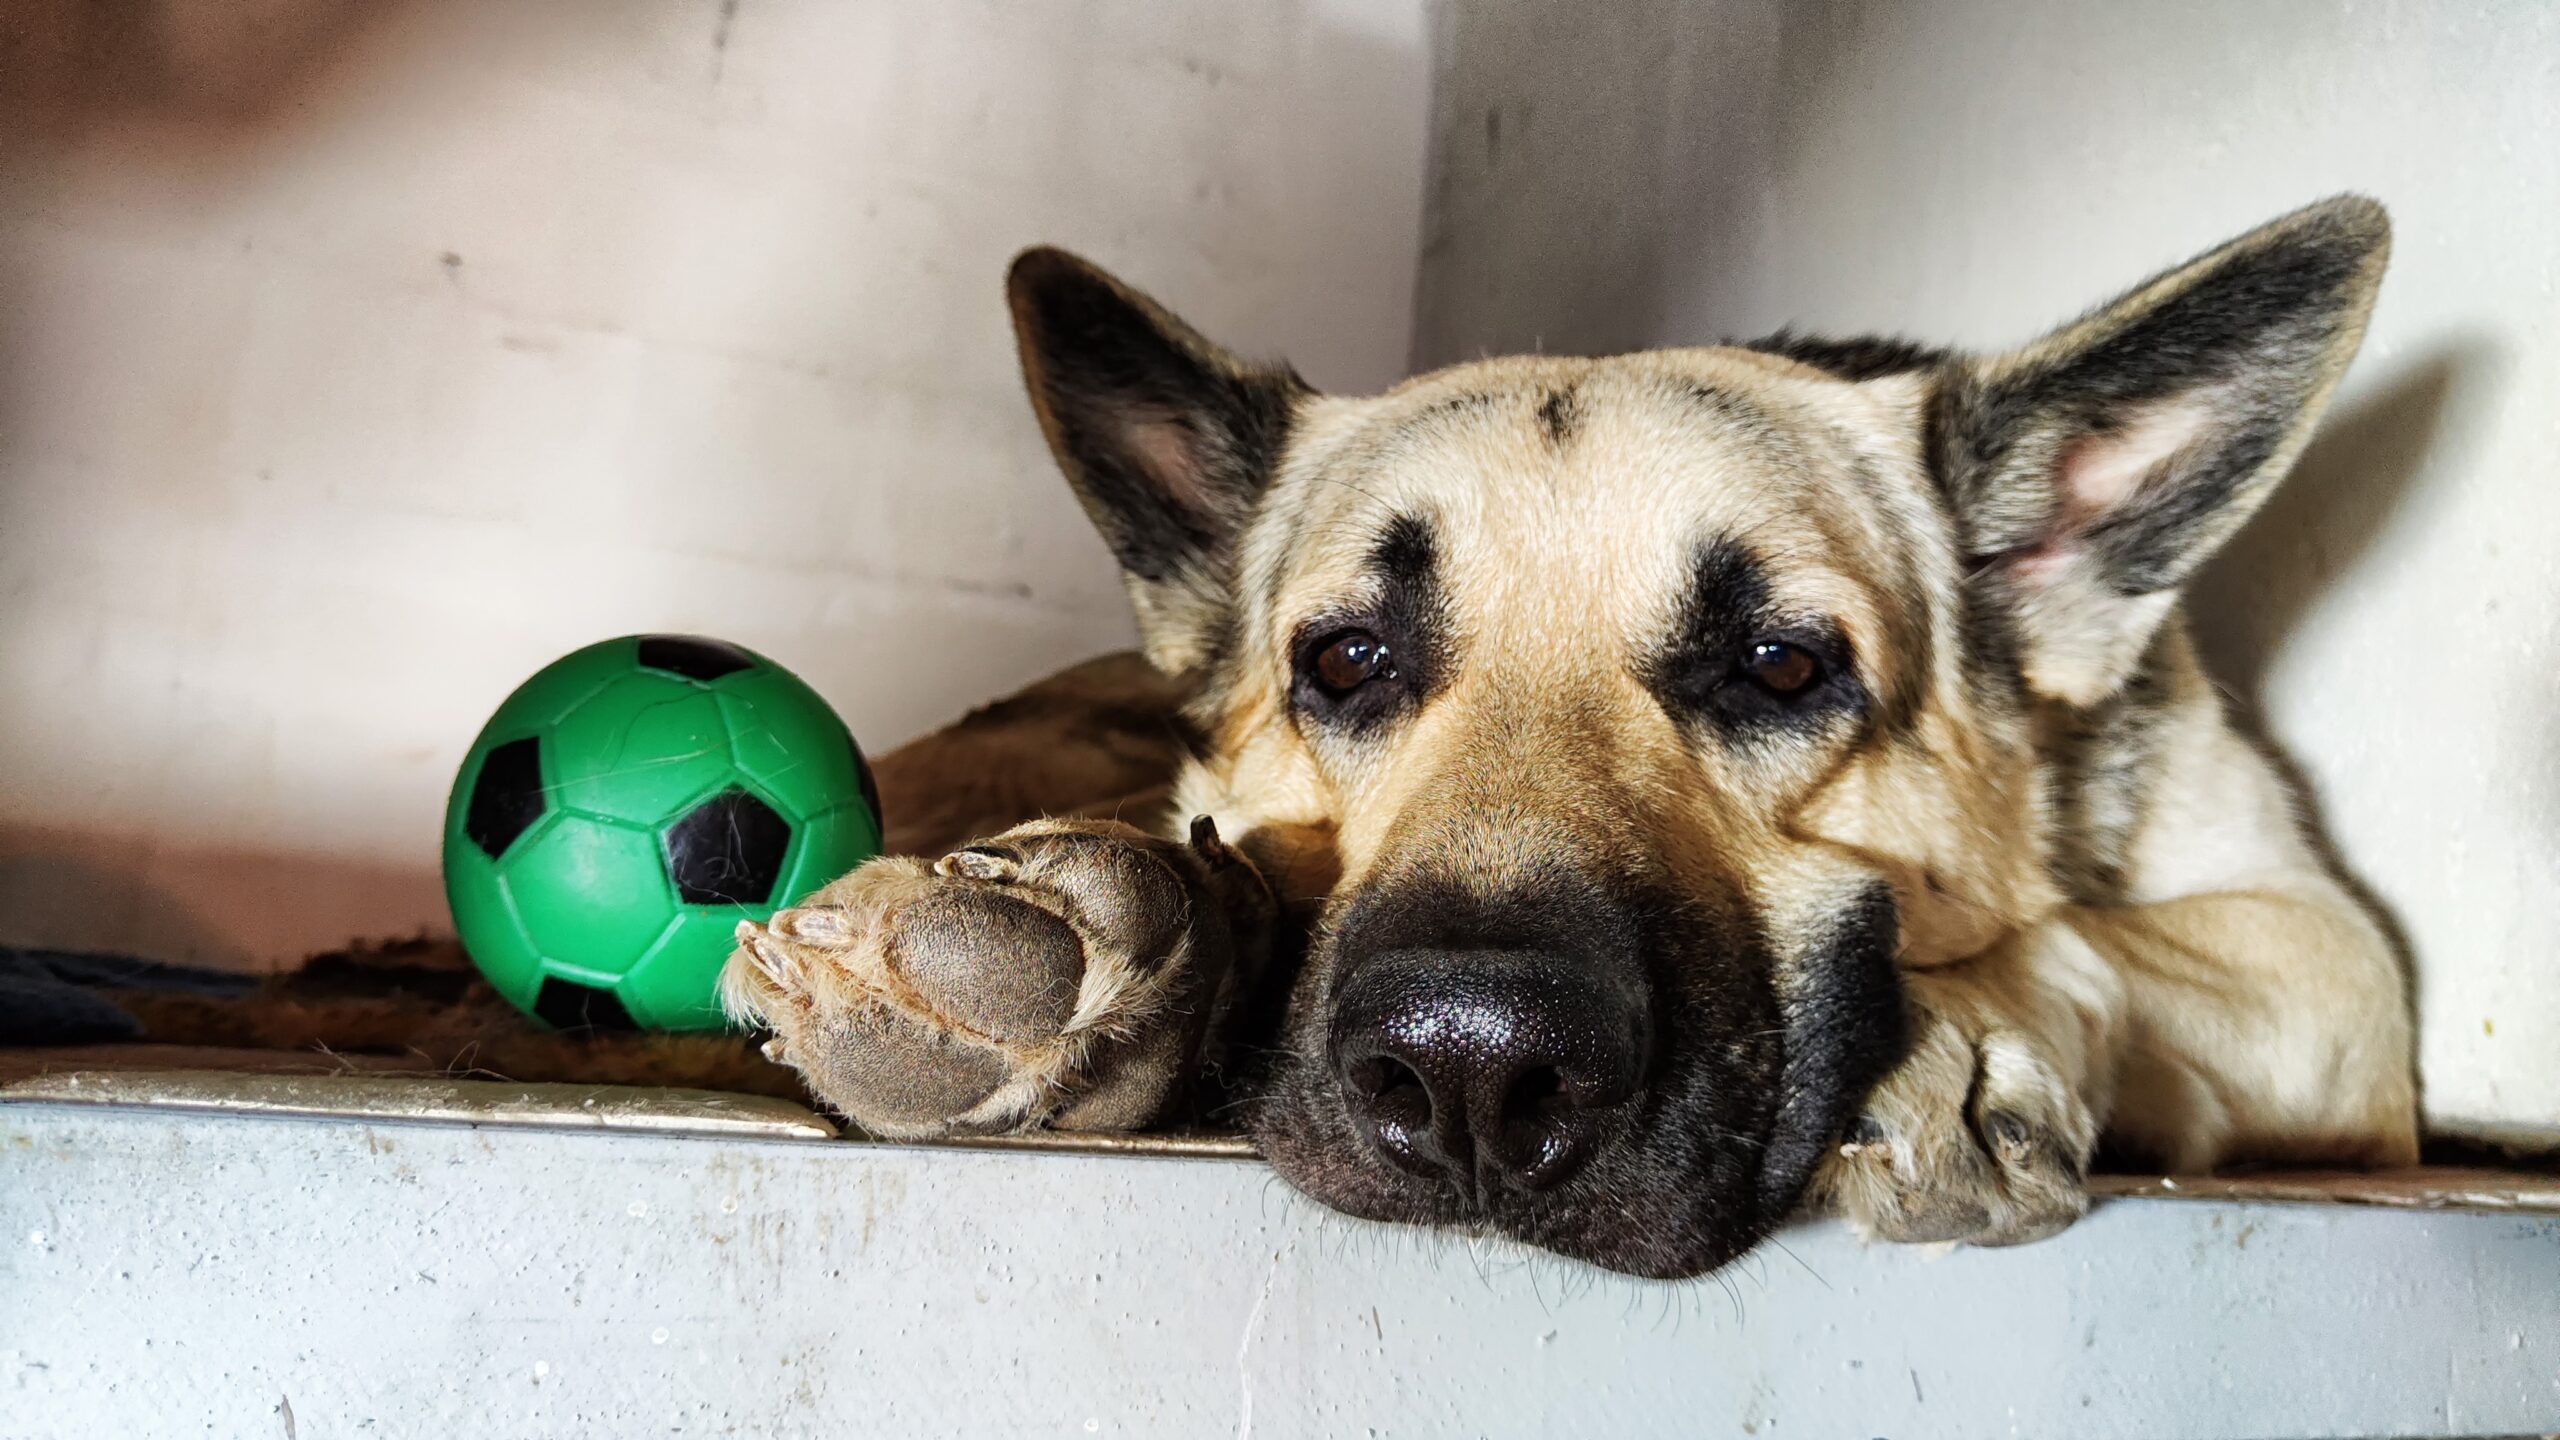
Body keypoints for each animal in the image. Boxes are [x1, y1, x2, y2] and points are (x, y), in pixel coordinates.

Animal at [727, 196, 2416, 1270]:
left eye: (1780, 667)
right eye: (1347, 660)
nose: (1471, 1076)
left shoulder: (2336, 973)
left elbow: (2096, 941)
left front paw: (1961, 1034)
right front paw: (1155, 945)